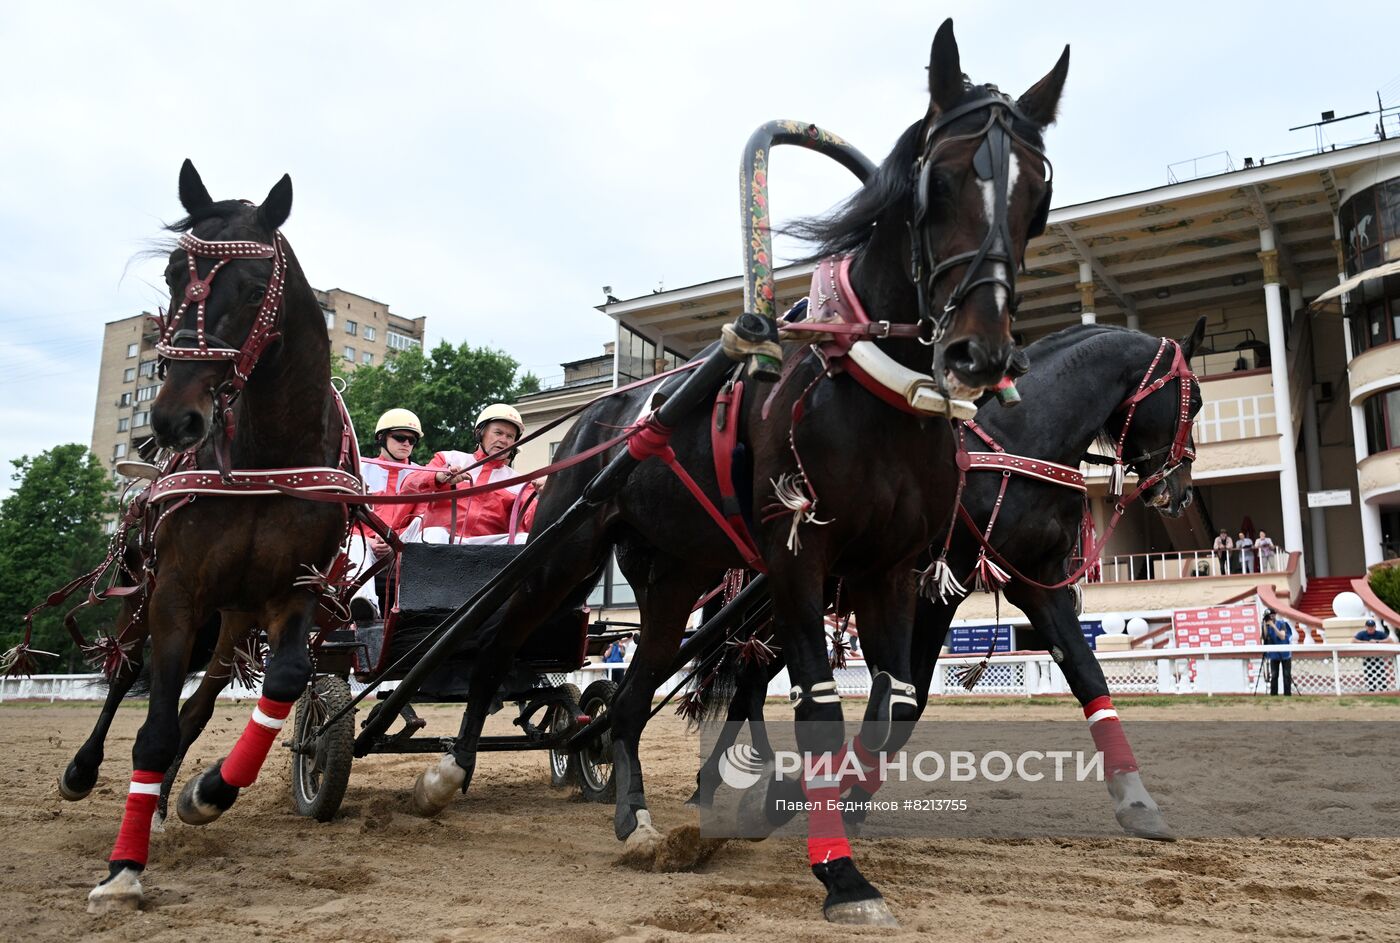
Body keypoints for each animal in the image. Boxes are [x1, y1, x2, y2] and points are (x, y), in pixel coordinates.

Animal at [85, 163, 350, 912]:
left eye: (257, 289)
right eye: (175, 274)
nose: (174, 419)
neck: (263, 457)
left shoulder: (296, 590)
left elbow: (284, 680)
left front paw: (208, 789)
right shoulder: (176, 591)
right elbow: (149, 729)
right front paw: (123, 867)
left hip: (233, 619)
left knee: (200, 702)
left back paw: (174, 793)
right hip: (147, 594)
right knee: (126, 673)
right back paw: (86, 773)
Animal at [408, 18, 1064, 923]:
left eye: (1038, 192)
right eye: (943, 178)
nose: (981, 353)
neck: (868, 390)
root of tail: (602, 413)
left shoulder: (890, 567)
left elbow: (891, 700)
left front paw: (797, 810)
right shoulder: (797, 555)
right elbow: (821, 701)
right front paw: (839, 869)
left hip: (676, 577)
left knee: (632, 692)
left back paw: (635, 815)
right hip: (567, 549)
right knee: (505, 639)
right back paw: (450, 769)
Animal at [688, 318, 1204, 833]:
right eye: (1195, 399)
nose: (1180, 492)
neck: (1014, 444)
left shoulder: (1037, 583)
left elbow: (1088, 675)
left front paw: (1136, 799)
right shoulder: (933, 589)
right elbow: (905, 701)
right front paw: (809, 795)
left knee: (750, 683)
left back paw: (718, 782)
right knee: (746, 681)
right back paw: (715, 786)